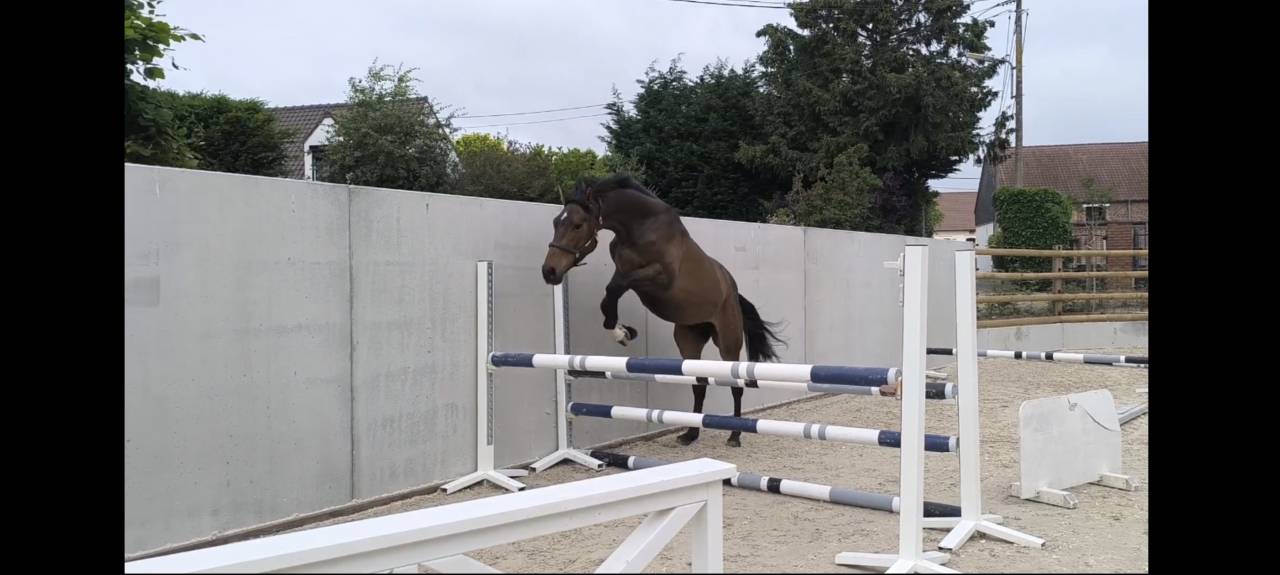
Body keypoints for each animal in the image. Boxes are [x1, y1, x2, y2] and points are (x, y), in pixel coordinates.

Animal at [540, 173, 786, 447]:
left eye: (578, 225)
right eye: (556, 222)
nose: (549, 272)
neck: (639, 227)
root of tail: (733, 292)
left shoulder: (659, 277)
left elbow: (614, 288)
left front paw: (622, 332)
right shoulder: (625, 271)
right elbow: (610, 296)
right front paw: (624, 331)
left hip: (728, 343)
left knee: (736, 384)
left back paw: (734, 435)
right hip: (688, 340)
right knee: (699, 384)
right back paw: (691, 433)